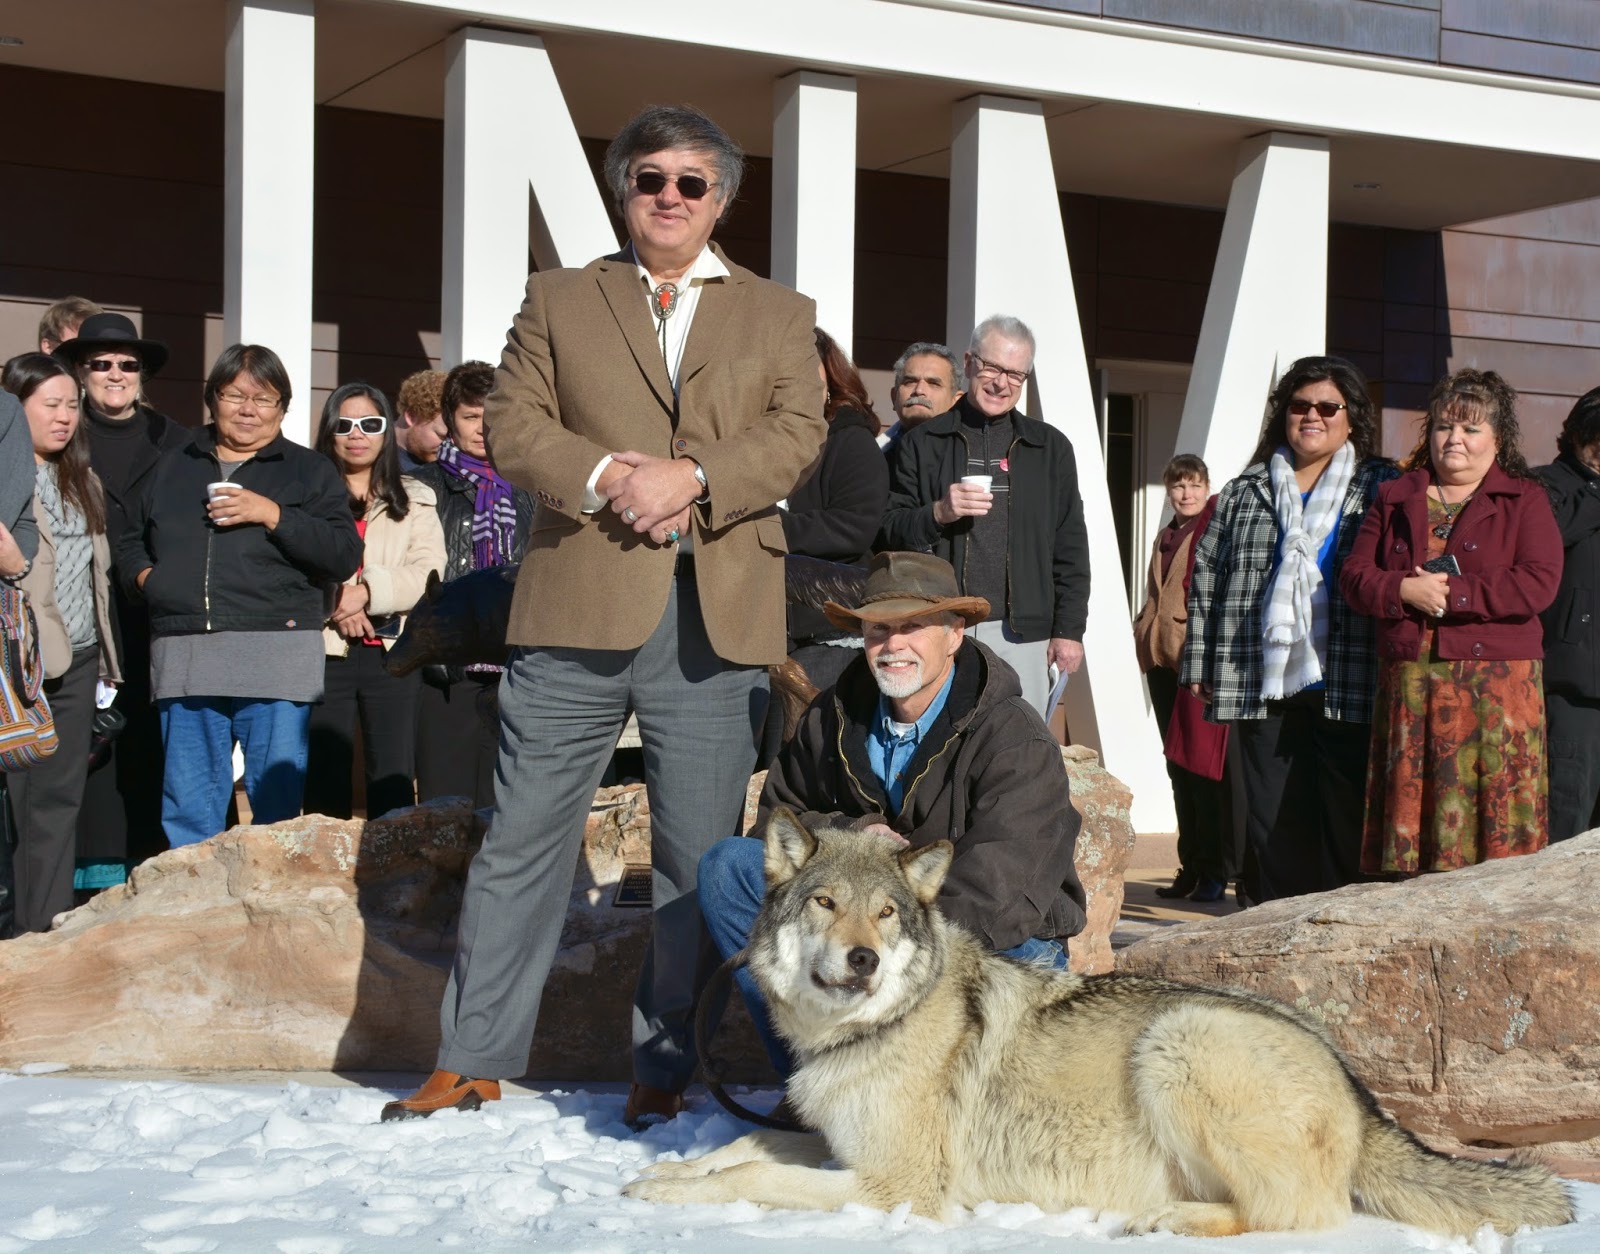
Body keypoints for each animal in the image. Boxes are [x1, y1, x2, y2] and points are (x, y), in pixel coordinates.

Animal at [624, 812, 1574, 1234]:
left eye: (886, 915)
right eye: (825, 903)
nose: (860, 960)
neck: (869, 1031)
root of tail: (1354, 1079)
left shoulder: (898, 1189)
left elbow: (756, 1175)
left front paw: (674, 1195)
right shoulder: (836, 1144)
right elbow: (743, 1144)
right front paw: (661, 1176)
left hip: (1179, 1042)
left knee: (1306, 1217)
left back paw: (1170, 1224)